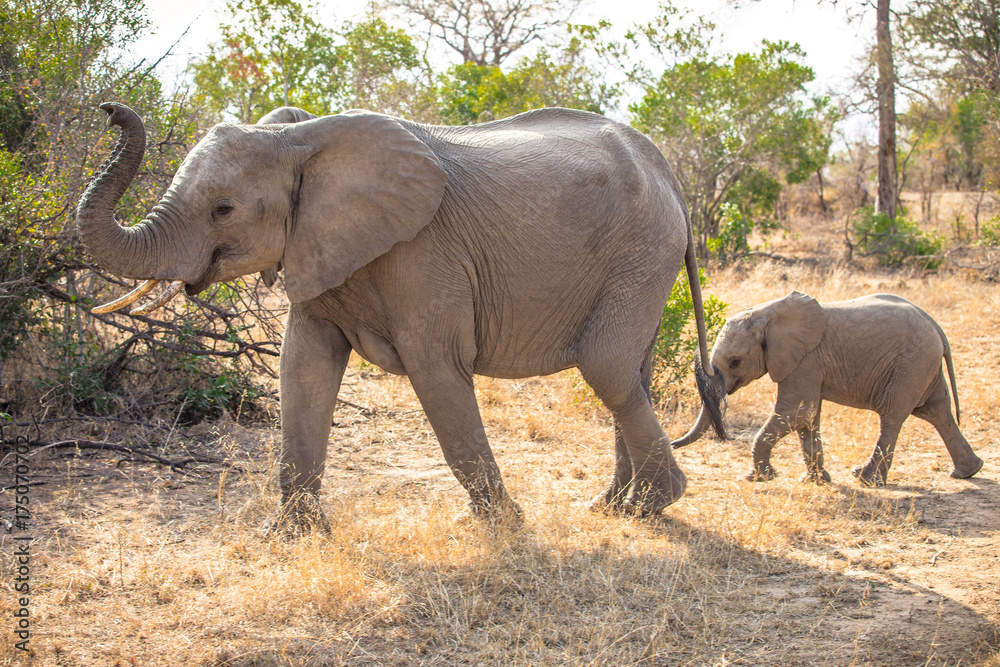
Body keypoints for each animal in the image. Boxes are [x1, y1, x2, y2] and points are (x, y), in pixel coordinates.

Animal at [76, 102, 727, 526]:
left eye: (223, 209)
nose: (110, 111)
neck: (300, 137)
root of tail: (669, 174)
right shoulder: (318, 248)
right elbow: (302, 370)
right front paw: (295, 536)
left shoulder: (423, 254)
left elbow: (437, 371)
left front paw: (502, 528)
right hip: (640, 261)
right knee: (630, 373)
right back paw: (615, 508)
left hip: (641, 253)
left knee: (607, 368)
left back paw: (653, 506)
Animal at [672, 291, 984, 487]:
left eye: (735, 362)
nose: (673, 443)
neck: (767, 311)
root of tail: (935, 325)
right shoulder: (807, 365)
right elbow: (808, 419)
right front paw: (815, 482)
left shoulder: (805, 361)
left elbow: (797, 413)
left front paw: (758, 479)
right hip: (923, 364)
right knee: (937, 411)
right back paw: (968, 472)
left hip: (911, 363)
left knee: (893, 416)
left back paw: (865, 479)